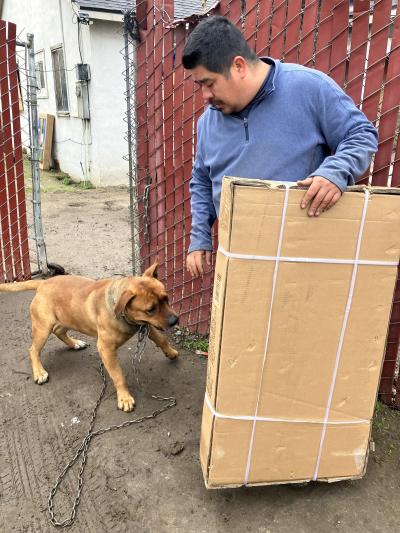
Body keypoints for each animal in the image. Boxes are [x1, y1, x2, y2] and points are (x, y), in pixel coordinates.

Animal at [0, 262, 178, 412]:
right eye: (150, 309)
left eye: (166, 298)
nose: (175, 320)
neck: (124, 314)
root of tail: (43, 283)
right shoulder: (106, 349)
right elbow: (118, 375)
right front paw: (125, 398)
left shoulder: (146, 327)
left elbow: (162, 339)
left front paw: (171, 352)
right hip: (43, 328)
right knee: (33, 350)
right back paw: (39, 372)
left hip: (68, 317)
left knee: (59, 331)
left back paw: (75, 343)